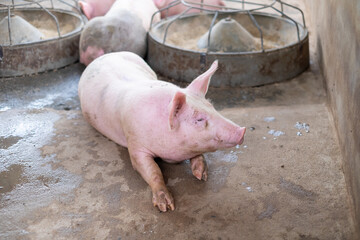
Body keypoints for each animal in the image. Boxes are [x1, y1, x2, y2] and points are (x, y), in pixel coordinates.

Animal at [78, 51, 246, 212]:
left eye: (212, 106)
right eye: (199, 119)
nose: (242, 130)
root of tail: (107, 55)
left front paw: (201, 175)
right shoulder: (135, 145)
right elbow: (153, 170)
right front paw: (166, 206)